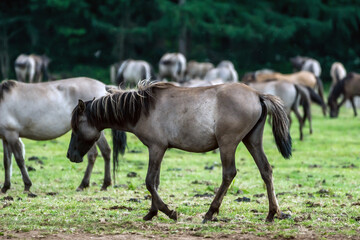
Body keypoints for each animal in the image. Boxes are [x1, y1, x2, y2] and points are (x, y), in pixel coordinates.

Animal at [67, 81, 292, 222]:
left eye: (76, 127)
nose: (70, 155)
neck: (142, 108)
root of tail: (258, 95)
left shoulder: (156, 148)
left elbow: (149, 181)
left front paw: (169, 212)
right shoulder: (159, 150)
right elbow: (155, 182)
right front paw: (152, 213)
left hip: (228, 144)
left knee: (229, 174)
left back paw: (210, 212)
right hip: (252, 141)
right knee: (266, 170)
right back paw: (272, 213)